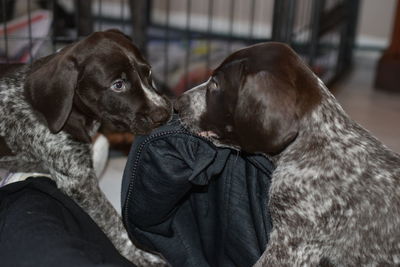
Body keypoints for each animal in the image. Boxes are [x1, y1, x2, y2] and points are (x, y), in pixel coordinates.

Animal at [0, 30, 170, 266]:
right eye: (118, 85)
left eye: (149, 72)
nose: (164, 114)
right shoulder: (79, 182)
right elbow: (114, 224)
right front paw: (144, 257)